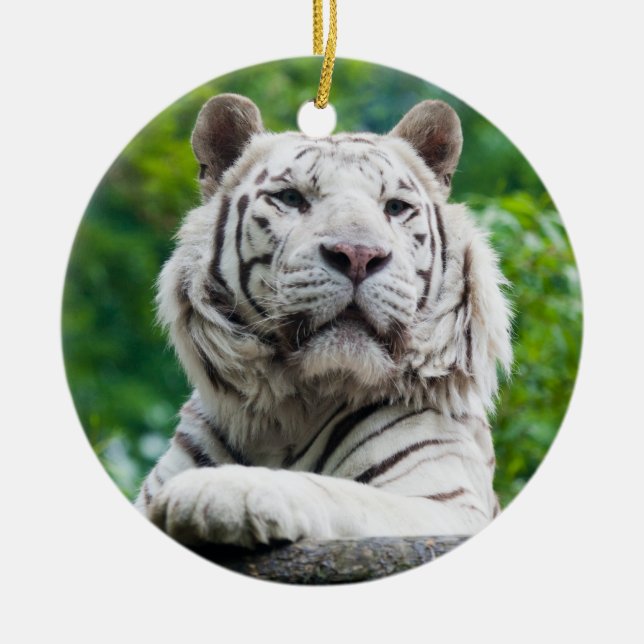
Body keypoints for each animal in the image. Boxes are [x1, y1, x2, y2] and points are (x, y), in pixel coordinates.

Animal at [135, 93, 513, 550]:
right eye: (291, 197)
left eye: (395, 207)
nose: (358, 255)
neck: (287, 415)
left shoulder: (444, 500)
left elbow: (339, 492)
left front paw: (216, 491)